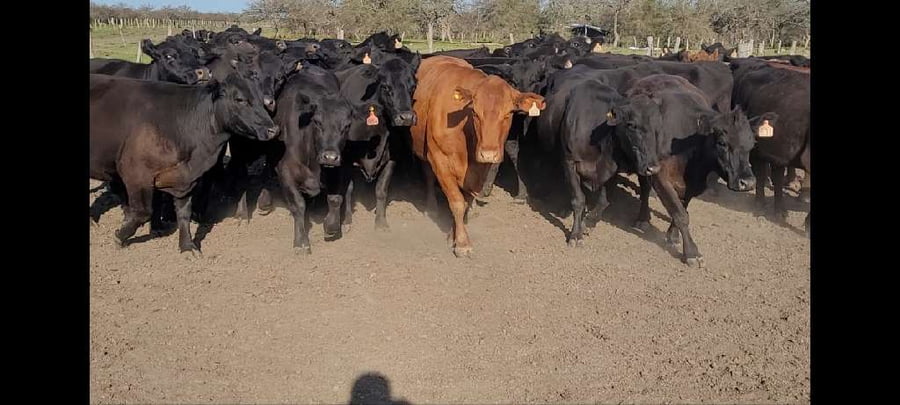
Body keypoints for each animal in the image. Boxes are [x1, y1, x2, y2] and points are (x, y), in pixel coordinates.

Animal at [89, 73, 278, 255]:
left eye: (262, 100)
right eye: (240, 99)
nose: (273, 130)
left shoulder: (186, 179)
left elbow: (183, 214)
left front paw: (187, 246)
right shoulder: (137, 174)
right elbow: (143, 212)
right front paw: (119, 237)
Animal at [410, 56, 545, 257]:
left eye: (508, 113)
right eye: (475, 112)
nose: (488, 153)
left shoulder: (478, 172)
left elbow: (466, 202)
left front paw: (453, 235)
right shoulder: (440, 160)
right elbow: (457, 202)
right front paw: (462, 243)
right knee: (427, 175)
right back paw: (432, 207)